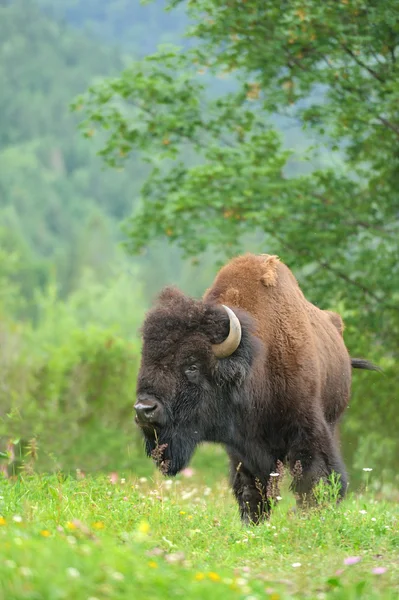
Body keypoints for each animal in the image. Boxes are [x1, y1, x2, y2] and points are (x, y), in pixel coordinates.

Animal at [135, 251, 382, 524]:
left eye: (192, 365)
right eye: (145, 359)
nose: (144, 409)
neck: (256, 362)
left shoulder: (307, 429)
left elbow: (314, 477)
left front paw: (308, 515)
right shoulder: (242, 448)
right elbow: (251, 487)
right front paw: (253, 521)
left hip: (332, 418)